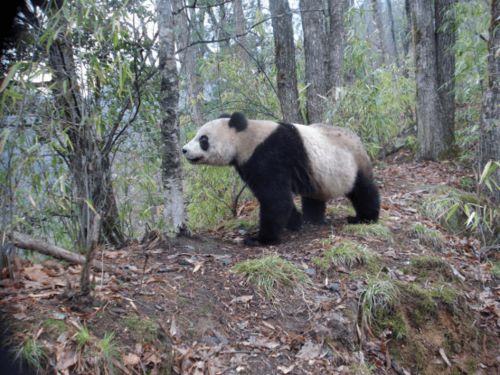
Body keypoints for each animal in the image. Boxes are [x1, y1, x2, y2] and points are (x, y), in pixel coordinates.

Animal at [182, 111, 380, 247]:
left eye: (203, 139)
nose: (184, 150)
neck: (246, 138)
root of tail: (358, 139)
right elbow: (278, 199)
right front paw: (295, 222)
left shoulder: (269, 154)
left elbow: (275, 198)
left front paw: (260, 239)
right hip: (318, 174)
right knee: (314, 196)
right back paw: (311, 218)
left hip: (351, 164)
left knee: (364, 190)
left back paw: (365, 218)